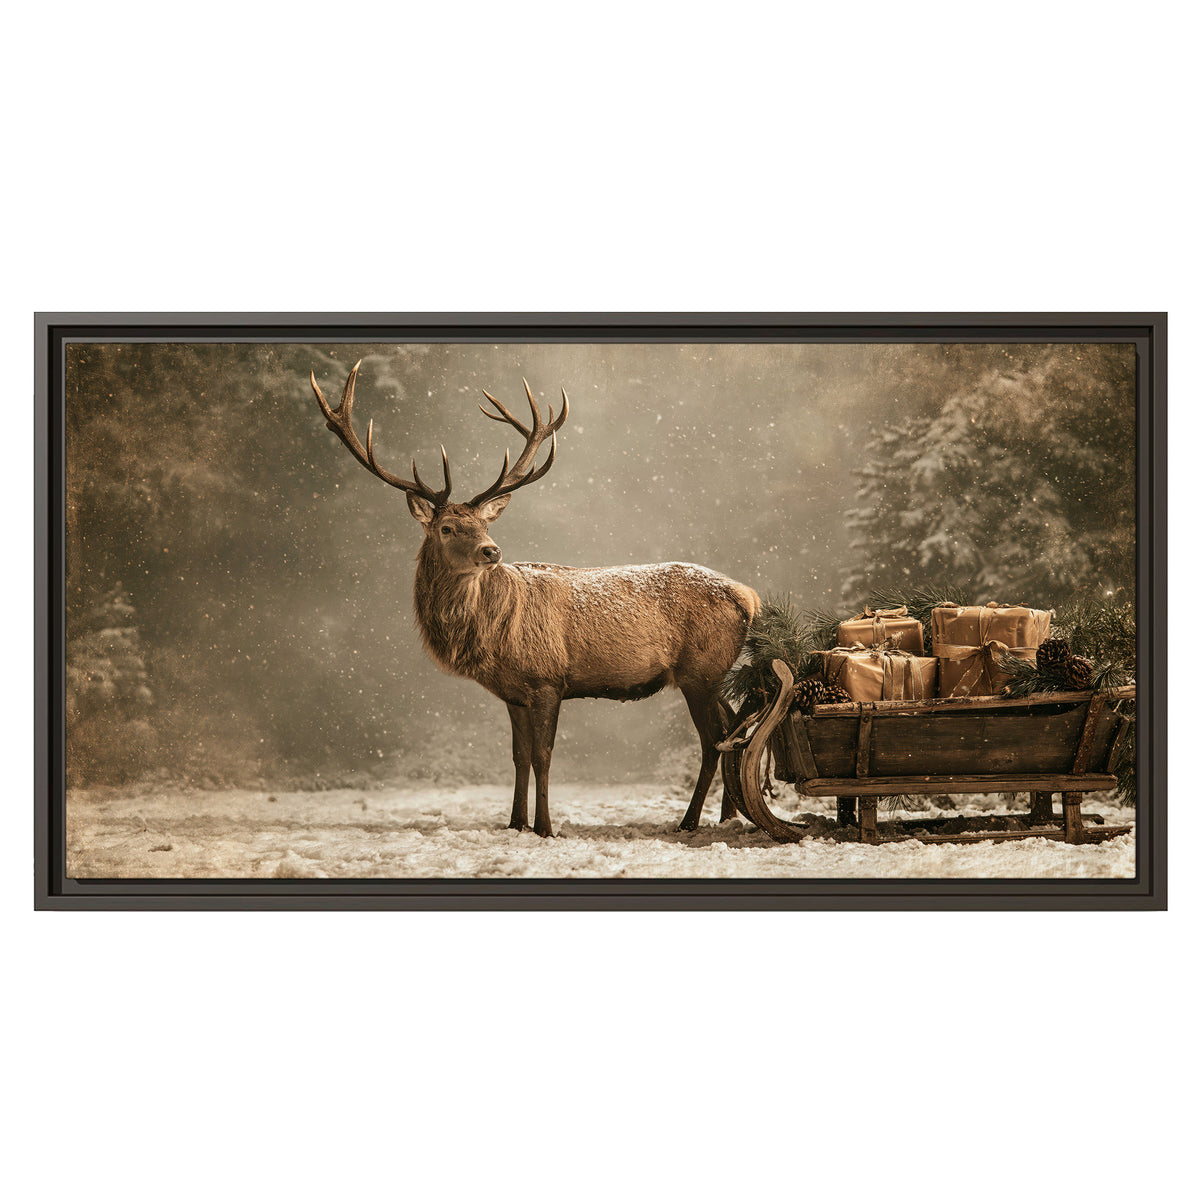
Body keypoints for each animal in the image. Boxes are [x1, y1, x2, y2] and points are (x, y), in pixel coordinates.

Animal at [311, 362, 761, 838]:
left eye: (483, 525)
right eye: (447, 528)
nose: (492, 551)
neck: (490, 639)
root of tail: (748, 596)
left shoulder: (548, 679)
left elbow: (544, 756)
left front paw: (545, 827)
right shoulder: (514, 692)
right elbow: (519, 757)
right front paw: (514, 823)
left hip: (700, 670)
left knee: (713, 740)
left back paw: (690, 820)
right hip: (711, 674)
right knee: (732, 727)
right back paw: (727, 816)